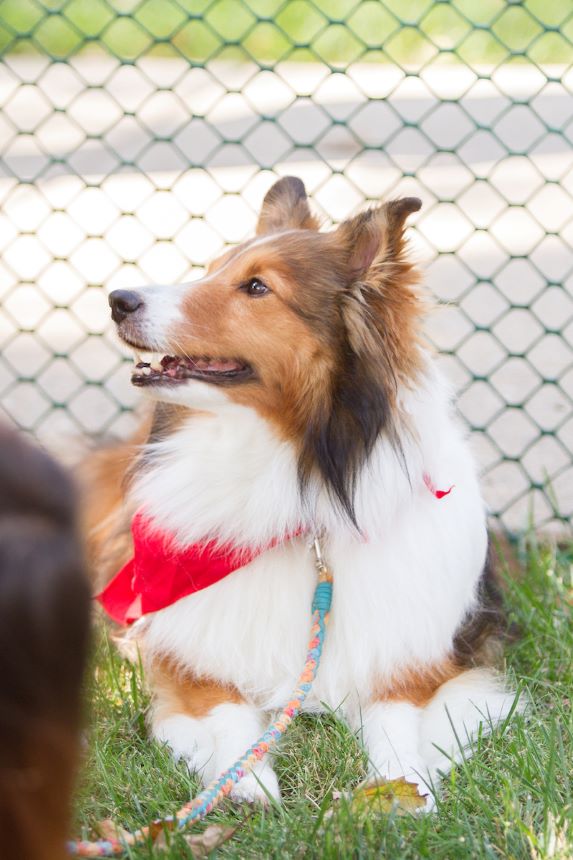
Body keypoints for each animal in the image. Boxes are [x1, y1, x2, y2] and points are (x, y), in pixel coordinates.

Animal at [84, 178, 512, 808]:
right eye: (211, 270)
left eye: (257, 287)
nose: (118, 299)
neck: (301, 480)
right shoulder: (189, 663)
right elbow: (228, 712)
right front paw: (247, 781)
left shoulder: (421, 662)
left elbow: (394, 719)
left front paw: (399, 788)